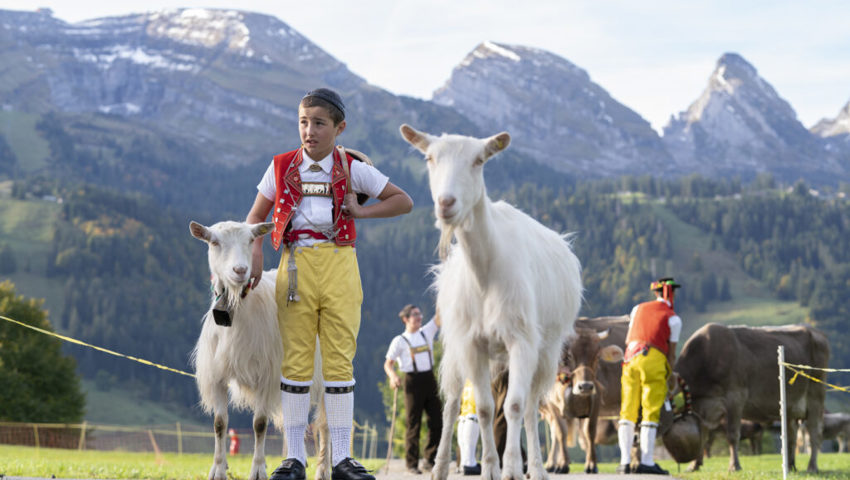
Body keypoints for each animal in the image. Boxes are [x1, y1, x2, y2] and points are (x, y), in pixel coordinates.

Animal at [190, 220, 328, 480]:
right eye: (214, 242)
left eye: (251, 240)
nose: (240, 270)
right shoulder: (218, 375)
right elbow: (220, 423)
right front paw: (218, 469)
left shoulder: (267, 374)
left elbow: (260, 424)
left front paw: (257, 470)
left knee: (325, 423)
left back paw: (323, 469)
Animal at [400, 124, 584, 480]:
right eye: (429, 158)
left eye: (478, 161)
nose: (446, 202)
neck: (485, 272)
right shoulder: (471, 344)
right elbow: (483, 409)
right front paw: (489, 469)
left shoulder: (522, 341)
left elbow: (513, 406)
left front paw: (511, 468)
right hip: (456, 348)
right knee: (452, 402)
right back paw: (439, 467)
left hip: (546, 349)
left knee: (531, 406)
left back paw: (537, 469)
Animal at [540, 316, 628, 472]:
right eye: (569, 355)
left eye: (597, 356)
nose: (586, 386)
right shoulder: (551, 405)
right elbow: (560, 432)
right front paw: (562, 464)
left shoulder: (595, 399)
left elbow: (589, 432)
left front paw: (591, 464)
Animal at [672, 322, 824, 472]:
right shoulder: (704, 406)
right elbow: (702, 437)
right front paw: (694, 465)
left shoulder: (735, 397)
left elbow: (733, 435)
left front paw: (734, 465)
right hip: (791, 406)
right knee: (791, 435)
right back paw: (790, 466)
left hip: (815, 397)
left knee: (814, 434)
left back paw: (812, 466)